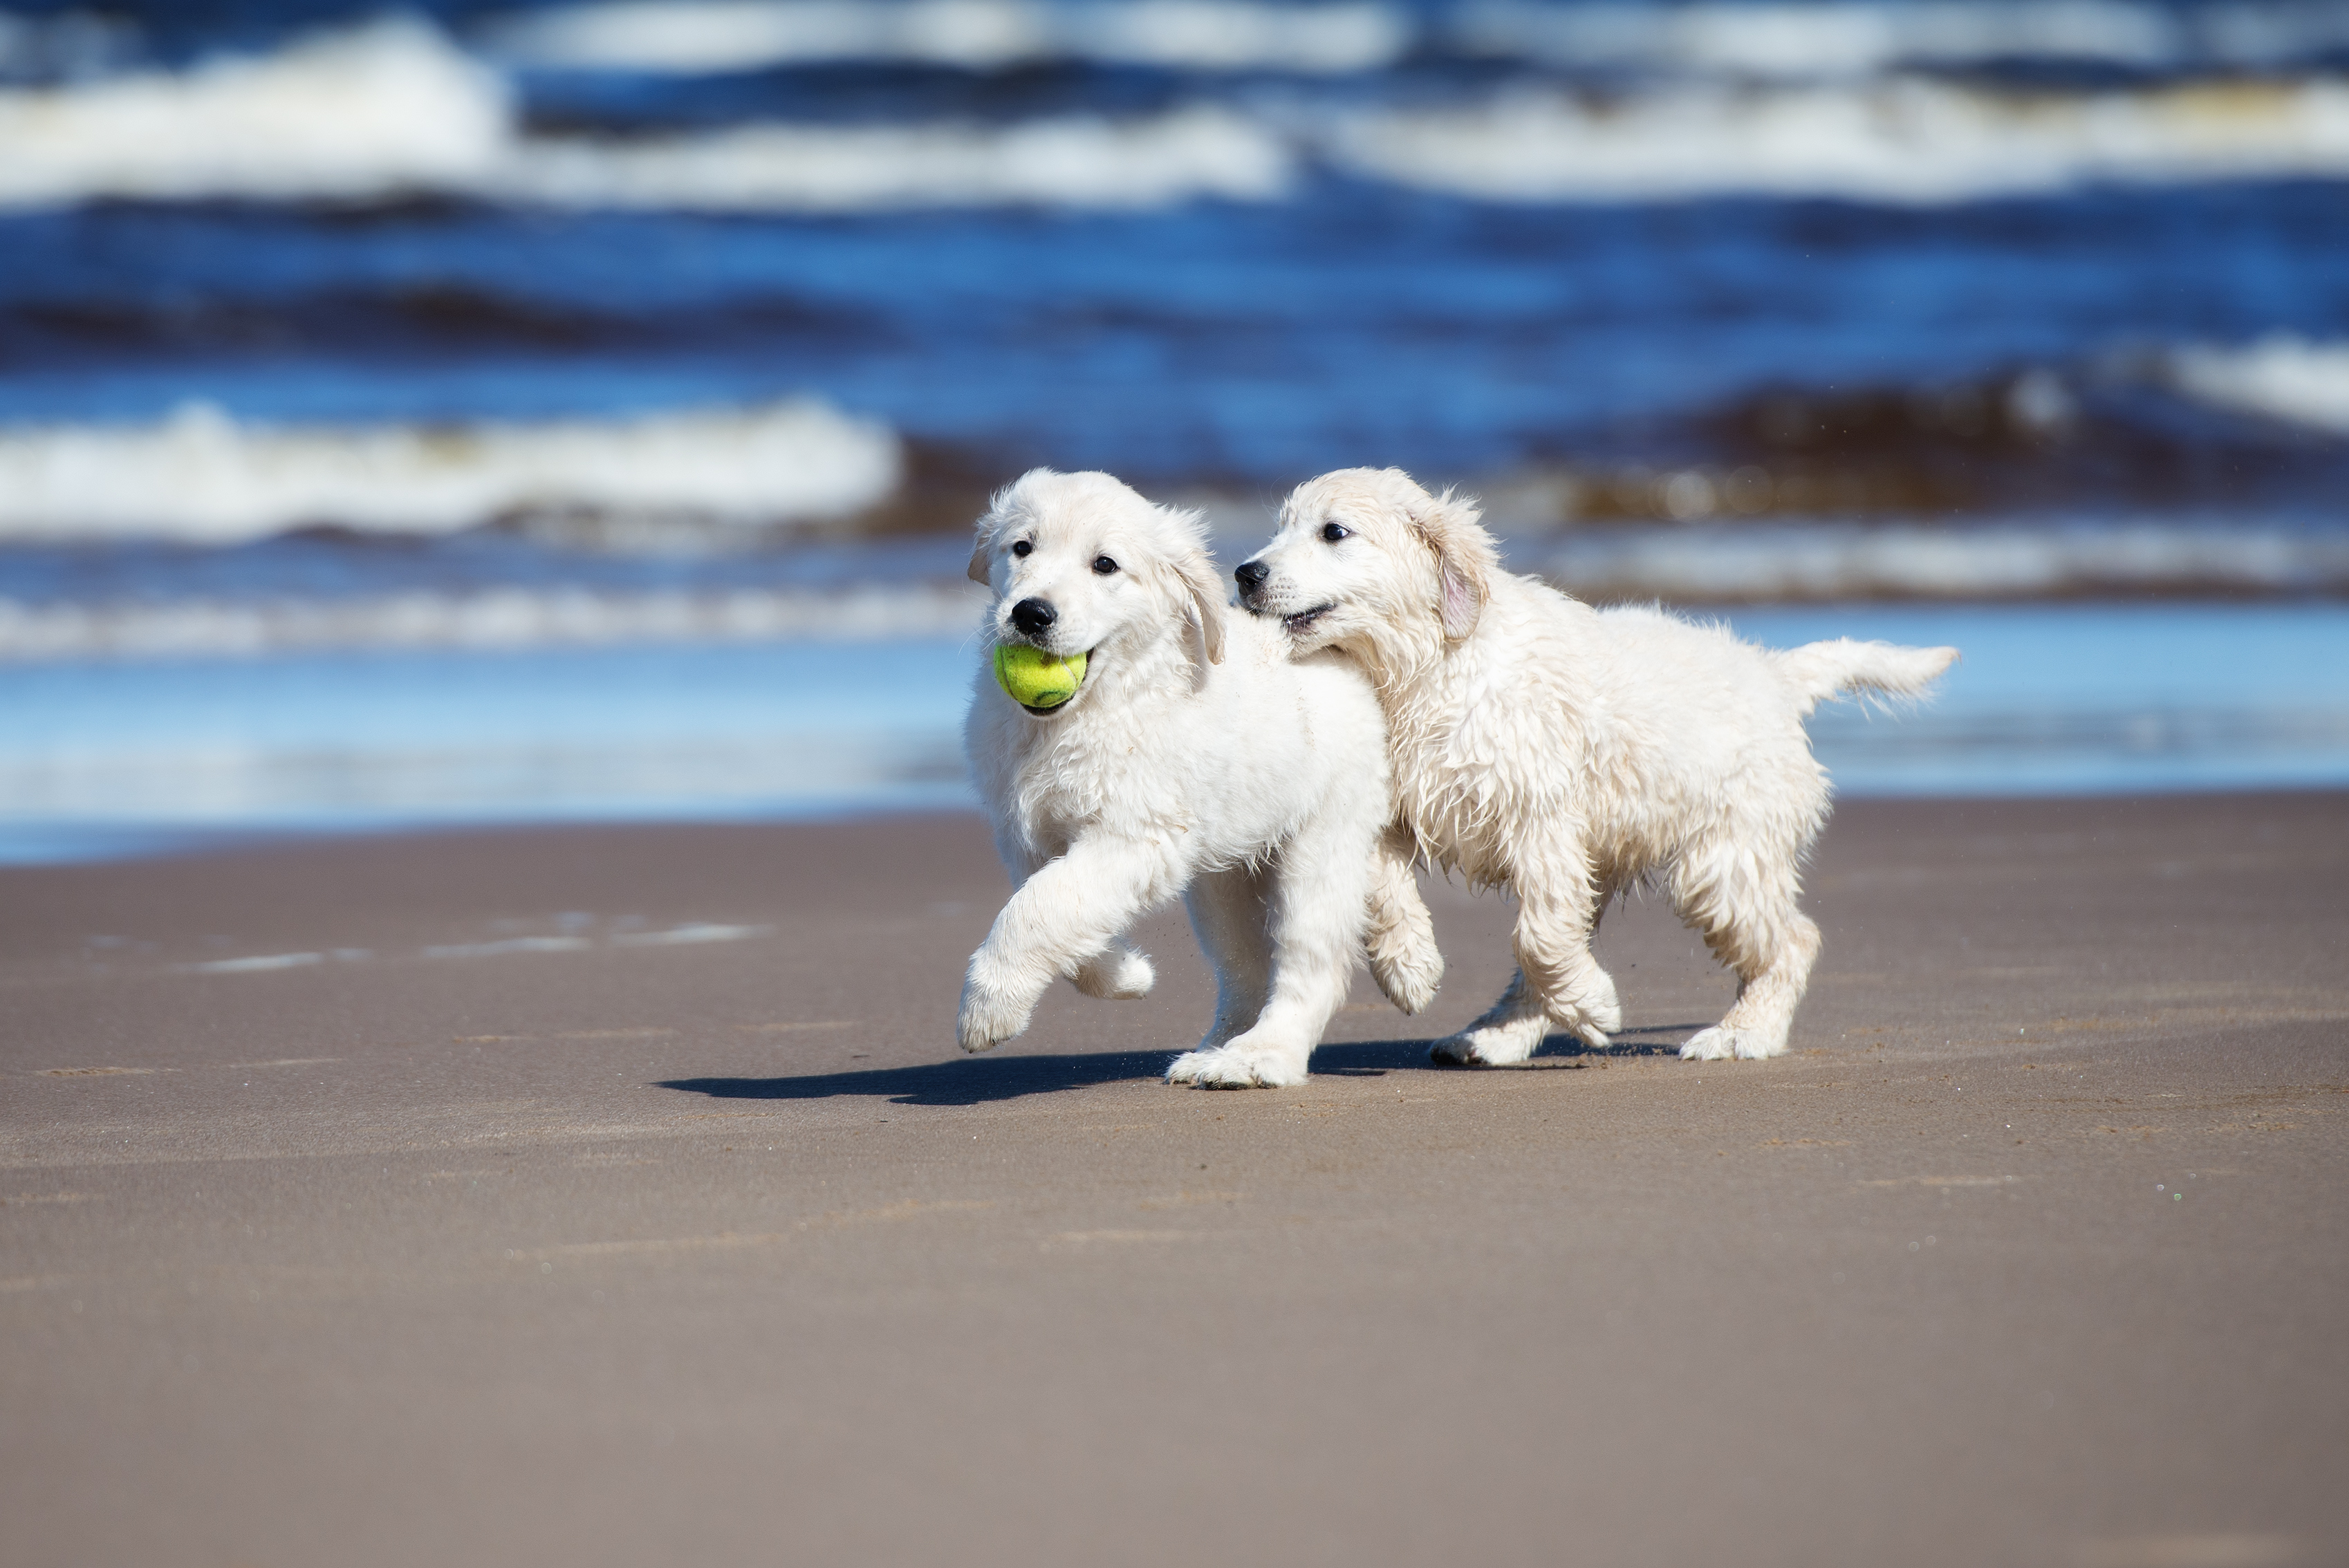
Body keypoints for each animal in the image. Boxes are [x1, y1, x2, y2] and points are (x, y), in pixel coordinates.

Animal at [958, 469, 1437, 1089]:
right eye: (1021, 548)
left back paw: (1262, 1056)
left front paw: (988, 1008)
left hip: (1322, 843)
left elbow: (1040, 907)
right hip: (1222, 880)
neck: (1089, 711)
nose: (1031, 614)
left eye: (1104, 565)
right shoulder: (1030, 837)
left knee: (1312, 964)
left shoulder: (1135, 835)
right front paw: (1125, 974)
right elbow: (1058, 908)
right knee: (1244, 967)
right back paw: (1217, 1049)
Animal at [1240, 465, 1954, 1065]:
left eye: (1334, 532)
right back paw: (1495, 1035)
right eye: (1280, 525)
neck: (1429, 668)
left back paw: (1742, 1033)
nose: (1246, 573)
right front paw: (1409, 968)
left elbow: (1538, 937)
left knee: (1793, 941)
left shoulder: (1541, 818)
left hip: (1720, 861)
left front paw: (1595, 1004)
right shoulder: (1394, 810)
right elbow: (1384, 890)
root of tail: (1775, 675)